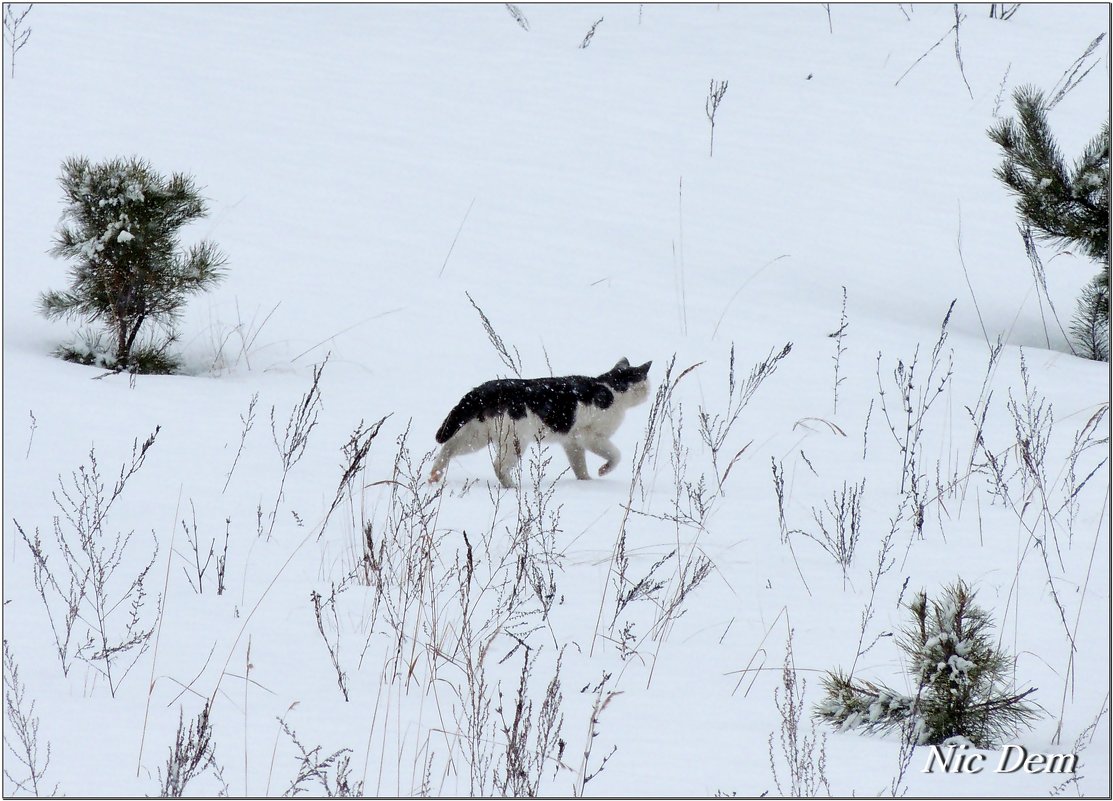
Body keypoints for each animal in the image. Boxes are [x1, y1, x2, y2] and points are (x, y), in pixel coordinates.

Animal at [427, 358, 649, 487]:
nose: (648, 393)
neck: (611, 387)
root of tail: (483, 390)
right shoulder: (590, 436)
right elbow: (615, 455)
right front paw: (603, 471)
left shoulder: (571, 442)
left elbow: (579, 465)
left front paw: (585, 483)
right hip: (514, 441)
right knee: (498, 465)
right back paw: (512, 486)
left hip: (476, 436)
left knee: (448, 448)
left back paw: (434, 475)